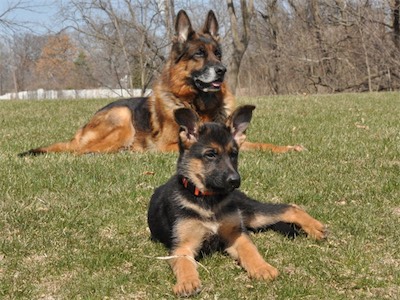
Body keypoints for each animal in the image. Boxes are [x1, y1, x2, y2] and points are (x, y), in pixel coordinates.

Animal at [18, 10, 304, 156]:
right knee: (81, 151)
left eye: (218, 54)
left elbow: (257, 144)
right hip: (122, 118)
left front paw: (288, 147)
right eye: (199, 54)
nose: (222, 71)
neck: (198, 103)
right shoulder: (169, 145)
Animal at [148, 105, 326, 296]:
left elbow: (250, 251)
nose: (235, 181)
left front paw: (262, 268)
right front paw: (187, 282)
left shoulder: (236, 234)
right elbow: (184, 264)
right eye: (210, 154)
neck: (208, 200)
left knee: (290, 207)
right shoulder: (181, 247)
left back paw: (315, 228)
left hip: (252, 213)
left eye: (234, 154)